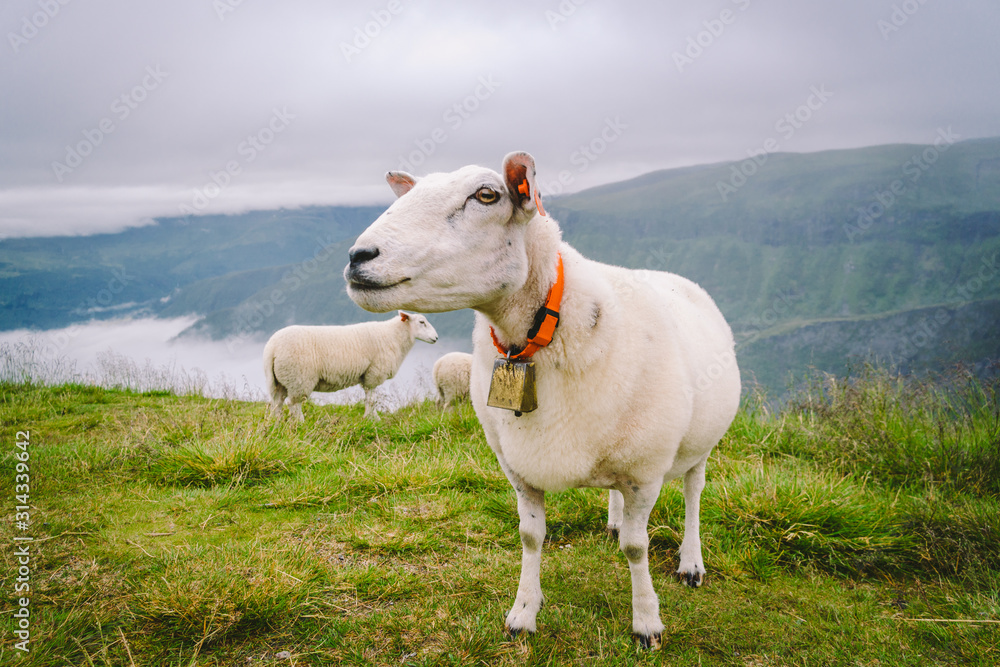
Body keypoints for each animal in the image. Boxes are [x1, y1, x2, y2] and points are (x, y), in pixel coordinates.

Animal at [262, 310, 438, 420]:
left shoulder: (367, 376)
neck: (393, 335)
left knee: (277, 403)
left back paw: (275, 424)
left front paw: (371, 418)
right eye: (422, 322)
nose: (436, 338)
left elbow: (369, 399)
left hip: (279, 380)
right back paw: (300, 423)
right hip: (298, 377)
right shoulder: (373, 374)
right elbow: (371, 400)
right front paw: (372, 419)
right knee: (293, 404)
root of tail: (272, 347)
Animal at [344, 150, 744, 648]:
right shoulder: (518, 465)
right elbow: (531, 538)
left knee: (693, 491)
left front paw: (647, 622)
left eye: (486, 195)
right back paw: (615, 521)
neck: (539, 329)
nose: (358, 257)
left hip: (700, 442)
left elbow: (637, 547)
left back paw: (691, 562)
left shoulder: (645, 471)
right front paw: (522, 613)